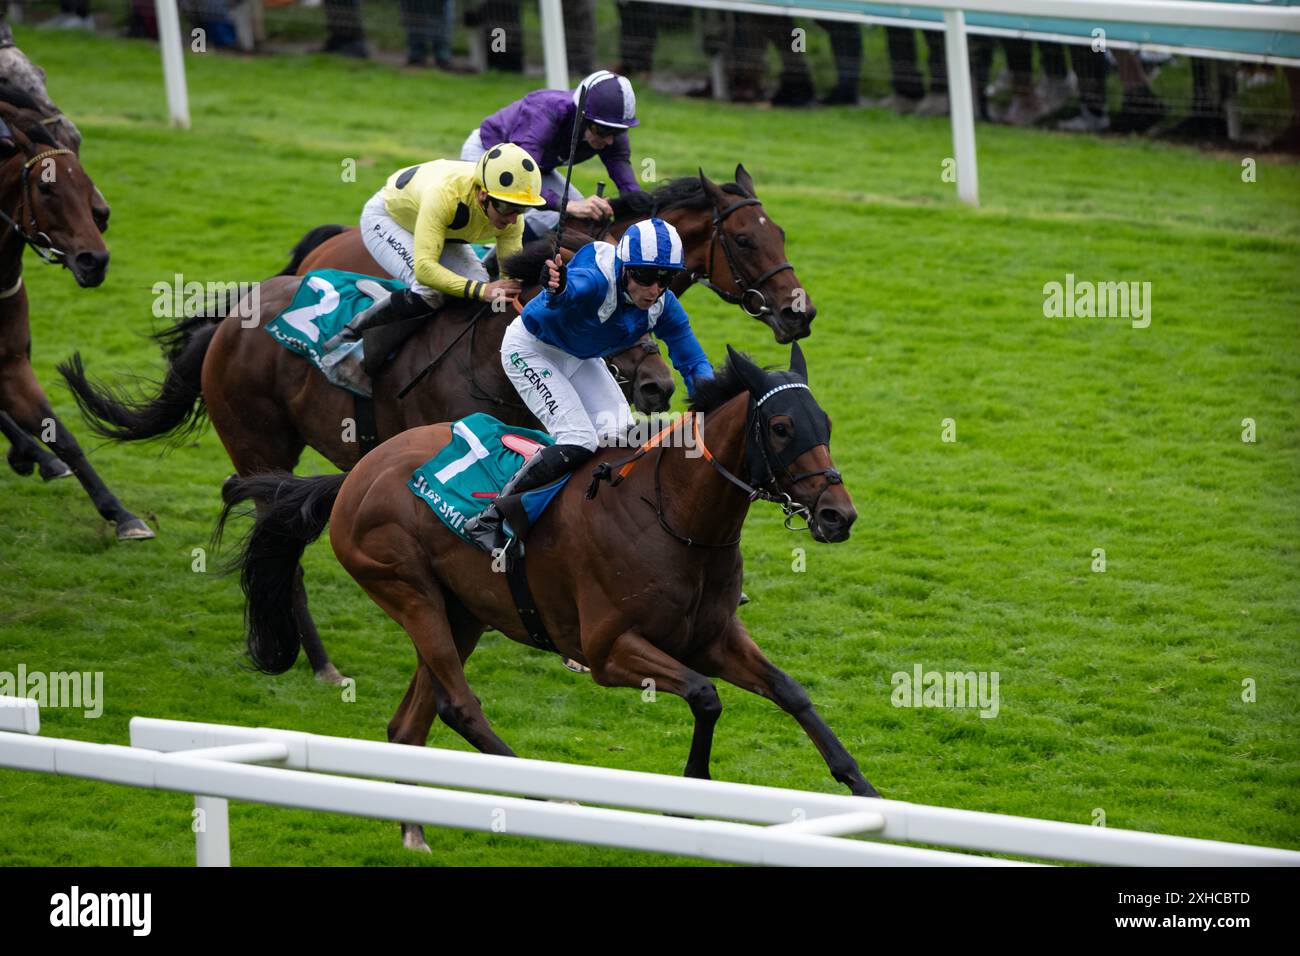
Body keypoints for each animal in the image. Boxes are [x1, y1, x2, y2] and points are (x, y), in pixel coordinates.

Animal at [0, 102, 152, 538]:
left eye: (85, 185)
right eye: (46, 188)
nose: (94, 260)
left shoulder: (12, 364)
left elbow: (63, 436)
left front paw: (122, 514)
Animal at [218, 345, 878, 853]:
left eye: (824, 422)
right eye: (782, 427)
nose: (838, 515)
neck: (673, 517)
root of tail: (354, 475)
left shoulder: (712, 637)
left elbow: (790, 692)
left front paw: (866, 790)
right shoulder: (609, 652)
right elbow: (705, 696)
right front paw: (687, 795)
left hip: (464, 612)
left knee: (411, 722)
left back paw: (414, 831)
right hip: (409, 591)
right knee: (459, 705)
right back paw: (555, 799)